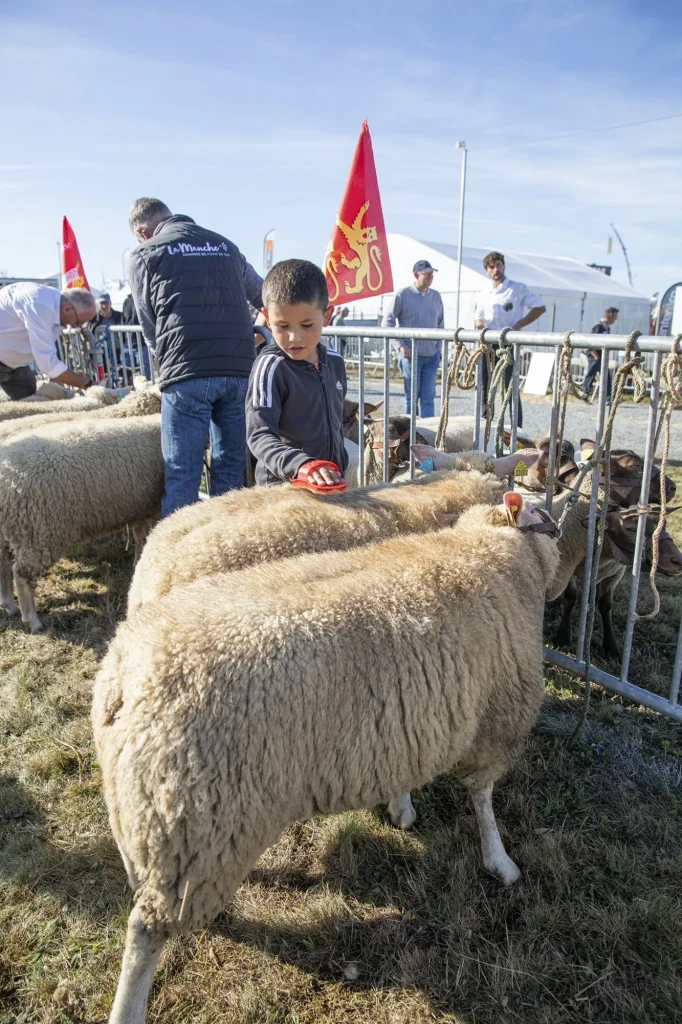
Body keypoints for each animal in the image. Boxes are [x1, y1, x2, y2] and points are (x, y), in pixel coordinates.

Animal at [0, 411, 163, 626]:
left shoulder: (141, 509)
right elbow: (146, 537)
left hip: (10, 530)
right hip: (37, 533)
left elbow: (141, 539)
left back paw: (8, 604)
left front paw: (137, 563)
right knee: (21, 575)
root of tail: (4, 475)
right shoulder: (153, 507)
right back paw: (32, 620)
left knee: (2, 564)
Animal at [91, 491, 557, 1019]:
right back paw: (128, 1008)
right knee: (145, 931)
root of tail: (122, 678)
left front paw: (402, 808)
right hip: (194, 822)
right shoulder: (496, 724)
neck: (492, 550)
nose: (559, 531)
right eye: (542, 514)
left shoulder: (411, 719)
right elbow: (483, 800)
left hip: (154, 817)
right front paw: (499, 862)